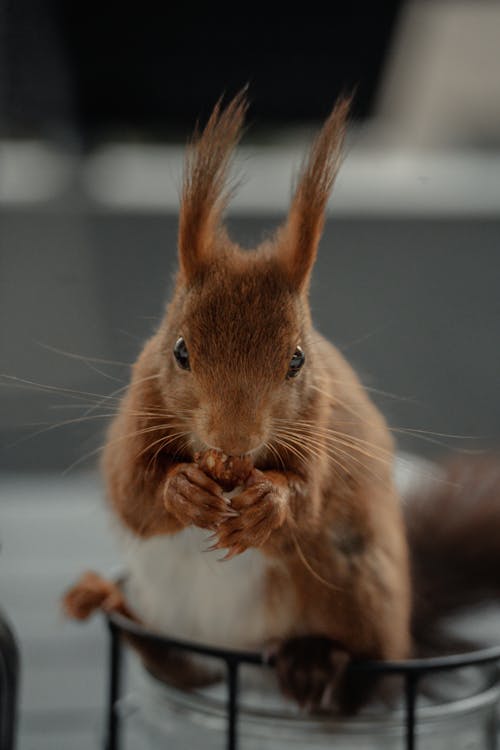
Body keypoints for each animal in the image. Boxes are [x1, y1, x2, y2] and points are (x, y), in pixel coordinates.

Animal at [63, 91, 500, 712]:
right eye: (180, 351)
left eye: (296, 359)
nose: (234, 441)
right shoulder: (135, 422)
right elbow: (134, 494)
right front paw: (183, 488)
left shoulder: (318, 432)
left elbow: (307, 499)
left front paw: (269, 503)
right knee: (180, 671)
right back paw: (112, 607)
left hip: (358, 588)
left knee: (365, 688)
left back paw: (314, 663)